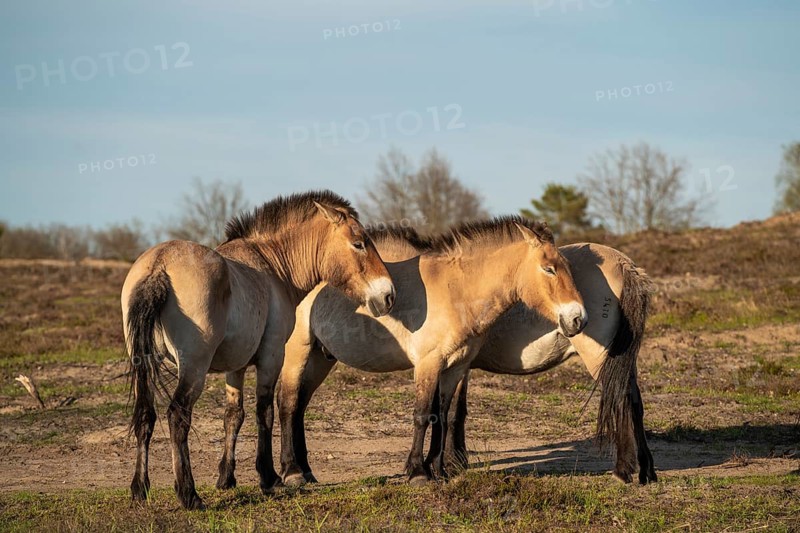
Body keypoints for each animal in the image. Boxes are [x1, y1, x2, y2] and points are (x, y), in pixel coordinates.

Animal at [121, 190, 396, 510]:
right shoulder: (271, 357)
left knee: (145, 415)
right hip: (193, 369)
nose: (388, 295)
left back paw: (140, 489)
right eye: (358, 243)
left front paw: (226, 478)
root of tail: (159, 265)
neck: (272, 266)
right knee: (177, 416)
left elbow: (234, 416)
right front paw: (270, 477)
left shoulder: (236, 366)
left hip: (143, 364)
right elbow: (264, 412)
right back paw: (189, 495)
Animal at [277, 225, 656, 487]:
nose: (578, 318)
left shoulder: (455, 364)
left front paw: (437, 468)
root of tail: (626, 266)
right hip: (305, 353)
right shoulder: (439, 363)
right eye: (549, 269)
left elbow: (442, 414)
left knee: (625, 400)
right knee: (290, 404)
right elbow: (434, 414)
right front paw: (430, 469)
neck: (454, 288)